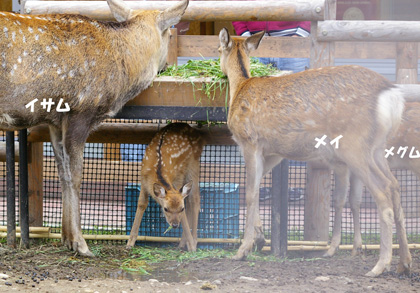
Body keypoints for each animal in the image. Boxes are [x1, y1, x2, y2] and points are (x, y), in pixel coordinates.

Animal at [0, 0, 189, 256]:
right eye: (170, 34)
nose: (167, 66)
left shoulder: (55, 121)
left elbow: (63, 174)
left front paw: (66, 238)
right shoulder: (81, 111)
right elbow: (76, 177)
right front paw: (81, 244)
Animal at [125, 122, 204, 250]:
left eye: (181, 209)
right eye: (166, 209)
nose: (175, 225)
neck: (157, 170)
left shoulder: (178, 179)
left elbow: (185, 209)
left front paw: (192, 247)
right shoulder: (143, 180)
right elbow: (141, 203)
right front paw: (130, 243)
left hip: (193, 165)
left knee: (195, 201)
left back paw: (193, 241)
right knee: (190, 201)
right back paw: (183, 243)